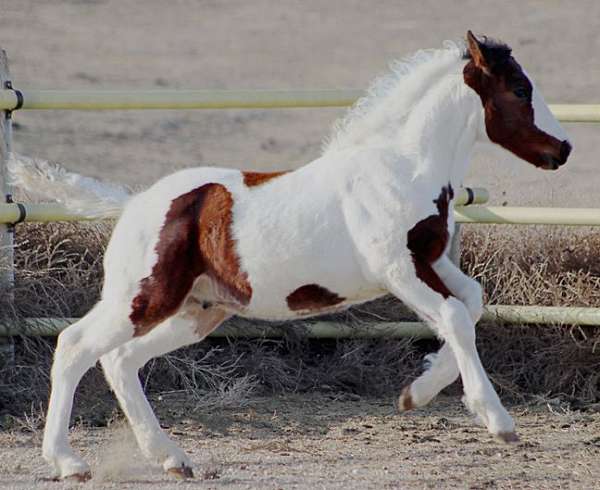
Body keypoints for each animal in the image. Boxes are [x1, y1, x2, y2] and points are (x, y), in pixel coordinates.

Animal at [9, 30, 572, 478]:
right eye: (520, 89)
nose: (563, 149)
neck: (401, 166)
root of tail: (132, 203)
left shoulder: (432, 261)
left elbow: (472, 303)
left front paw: (417, 391)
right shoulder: (399, 270)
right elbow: (455, 316)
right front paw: (496, 420)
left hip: (198, 311)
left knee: (122, 361)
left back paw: (172, 458)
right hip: (143, 297)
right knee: (75, 345)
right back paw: (69, 462)